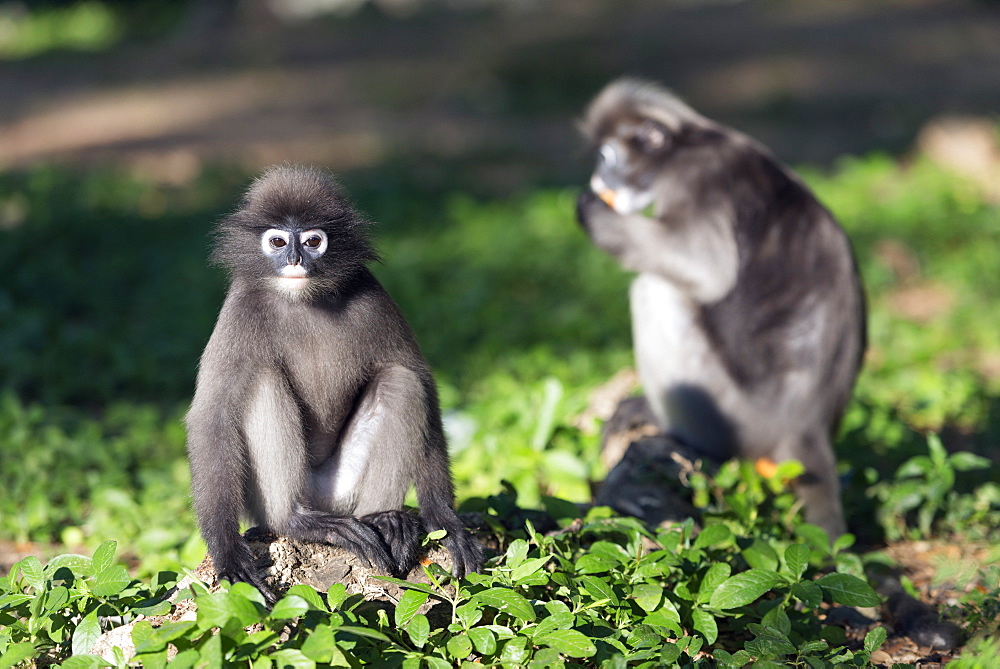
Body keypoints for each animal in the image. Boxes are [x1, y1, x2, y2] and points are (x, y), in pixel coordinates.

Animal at [189, 167, 486, 596]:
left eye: (313, 241)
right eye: (278, 241)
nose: (295, 259)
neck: (304, 298)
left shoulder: (373, 294)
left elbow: (421, 381)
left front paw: (445, 521)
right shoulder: (241, 309)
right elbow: (213, 416)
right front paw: (228, 554)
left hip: (343, 489)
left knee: (401, 380)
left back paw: (386, 519)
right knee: (261, 380)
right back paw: (297, 520)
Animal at [580, 79, 868, 536]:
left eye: (607, 156)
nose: (596, 179)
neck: (691, 143)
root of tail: (808, 430)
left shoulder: (698, 178)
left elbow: (704, 269)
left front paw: (592, 212)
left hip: (734, 416)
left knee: (654, 289)